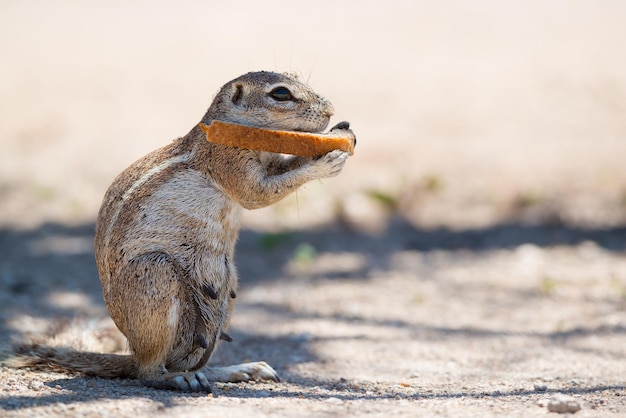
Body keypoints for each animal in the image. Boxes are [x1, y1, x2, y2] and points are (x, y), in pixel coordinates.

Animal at [8, 71, 352, 392]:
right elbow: (257, 193)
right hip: (156, 273)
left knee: (193, 361)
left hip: (226, 292)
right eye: (281, 94)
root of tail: (132, 354)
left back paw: (234, 370)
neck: (230, 130)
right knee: (149, 372)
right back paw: (178, 378)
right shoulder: (228, 161)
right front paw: (327, 160)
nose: (332, 111)